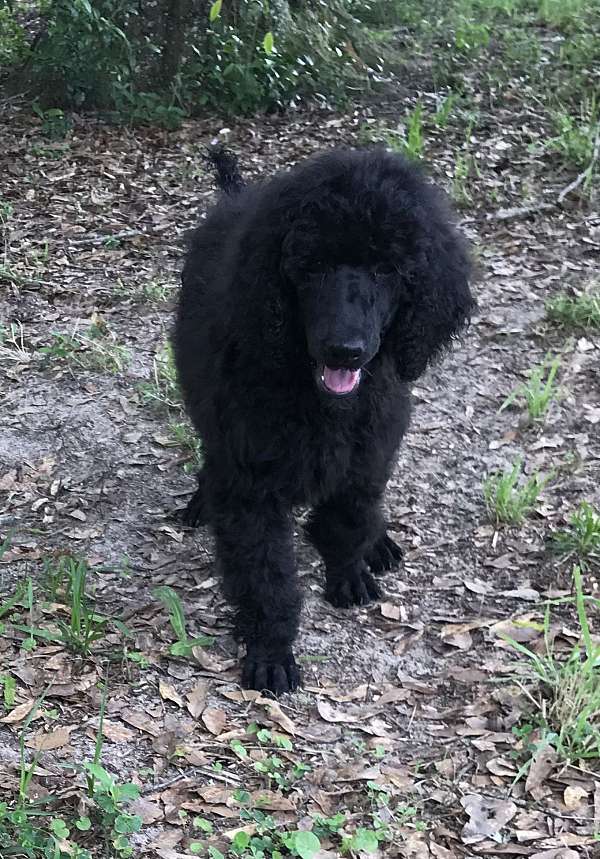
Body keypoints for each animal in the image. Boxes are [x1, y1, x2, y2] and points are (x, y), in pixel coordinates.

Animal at [173, 146, 474, 700]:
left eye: (386, 269)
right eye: (310, 267)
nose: (345, 350)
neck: (320, 401)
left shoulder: (368, 454)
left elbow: (350, 518)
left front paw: (349, 571)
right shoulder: (250, 486)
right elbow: (266, 575)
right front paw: (271, 651)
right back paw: (202, 501)